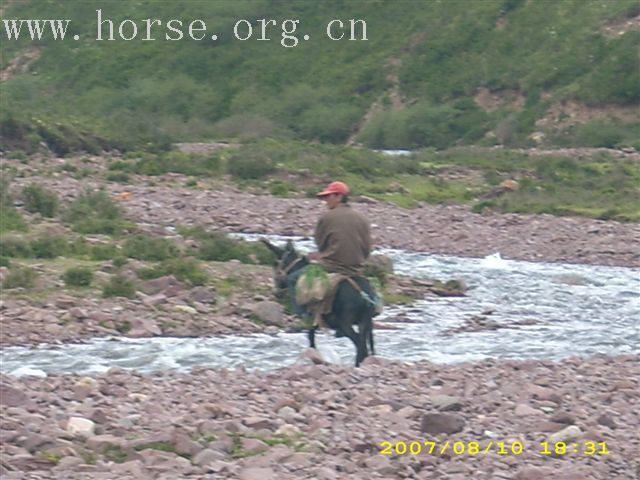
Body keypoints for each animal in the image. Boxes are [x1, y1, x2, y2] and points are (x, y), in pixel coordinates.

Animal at [262, 238, 376, 366]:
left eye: (276, 264)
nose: (276, 293)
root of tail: (363, 294)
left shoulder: (309, 318)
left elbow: (310, 337)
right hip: (365, 322)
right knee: (365, 344)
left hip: (346, 323)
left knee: (359, 343)